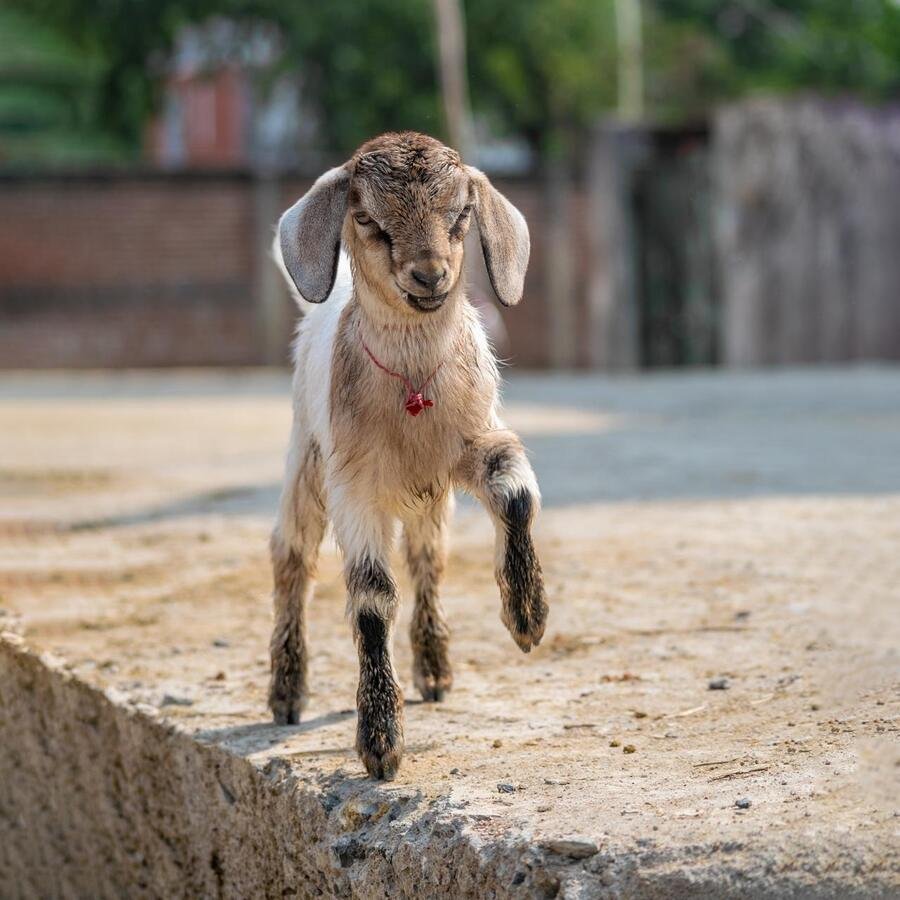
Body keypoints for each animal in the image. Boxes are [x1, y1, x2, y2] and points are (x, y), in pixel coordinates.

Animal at [269, 131, 547, 780]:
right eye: (367, 219)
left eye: (462, 214)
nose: (430, 276)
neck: (414, 387)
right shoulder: (353, 485)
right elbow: (372, 597)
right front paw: (380, 740)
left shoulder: (475, 441)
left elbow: (516, 493)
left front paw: (527, 616)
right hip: (306, 462)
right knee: (291, 558)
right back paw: (287, 692)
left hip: (428, 501)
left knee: (428, 560)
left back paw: (435, 669)